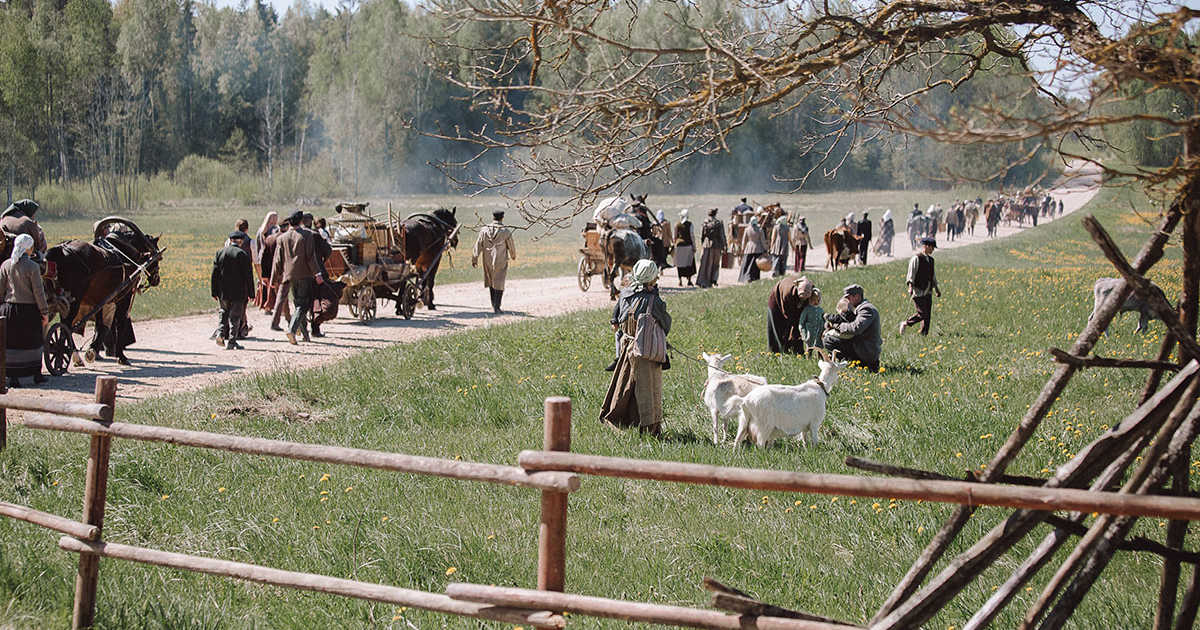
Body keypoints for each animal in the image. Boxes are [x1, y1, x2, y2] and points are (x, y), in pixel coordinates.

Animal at [44, 216, 163, 362]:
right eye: (157, 257)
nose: (156, 279)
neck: (123, 252)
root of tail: (60, 250)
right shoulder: (123, 297)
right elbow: (119, 323)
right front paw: (121, 356)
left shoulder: (101, 299)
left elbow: (101, 325)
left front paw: (93, 350)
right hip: (74, 300)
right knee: (66, 325)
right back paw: (69, 353)